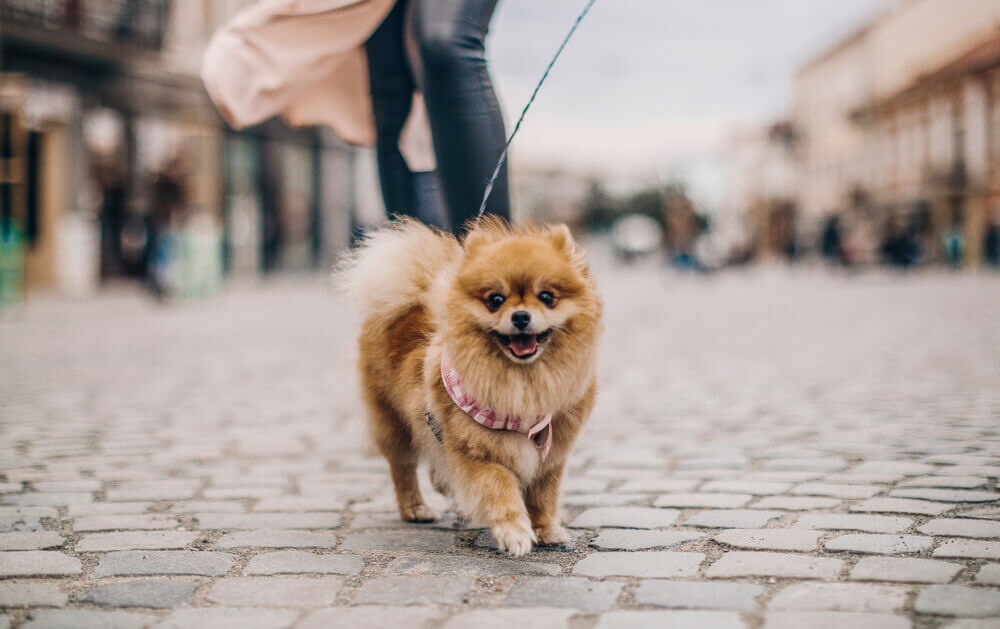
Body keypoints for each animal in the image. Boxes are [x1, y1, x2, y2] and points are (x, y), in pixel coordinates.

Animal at [340, 216, 596, 556]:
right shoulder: (477, 453)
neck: (522, 383)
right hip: (394, 423)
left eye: (547, 297)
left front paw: (545, 530)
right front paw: (514, 531)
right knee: (403, 467)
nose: (521, 316)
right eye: (495, 300)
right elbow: (500, 488)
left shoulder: (551, 457)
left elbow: (544, 497)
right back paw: (414, 508)